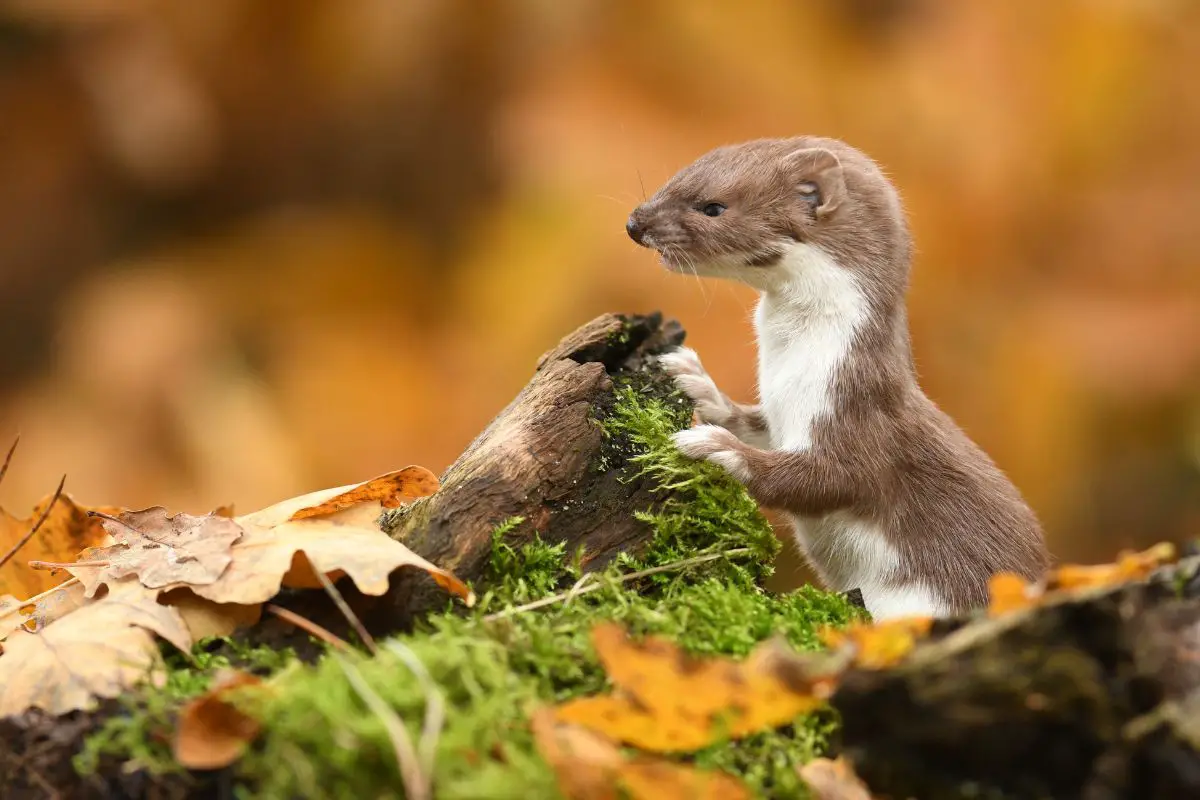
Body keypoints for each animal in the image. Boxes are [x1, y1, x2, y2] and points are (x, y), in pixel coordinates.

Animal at [628, 137, 1051, 623]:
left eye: (712, 206)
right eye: (680, 174)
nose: (634, 223)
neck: (788, 366)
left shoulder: (855, 406)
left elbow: (827, 479)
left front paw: (716, 446)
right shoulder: (782, 410)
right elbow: (756, 424)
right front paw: (695, 380)